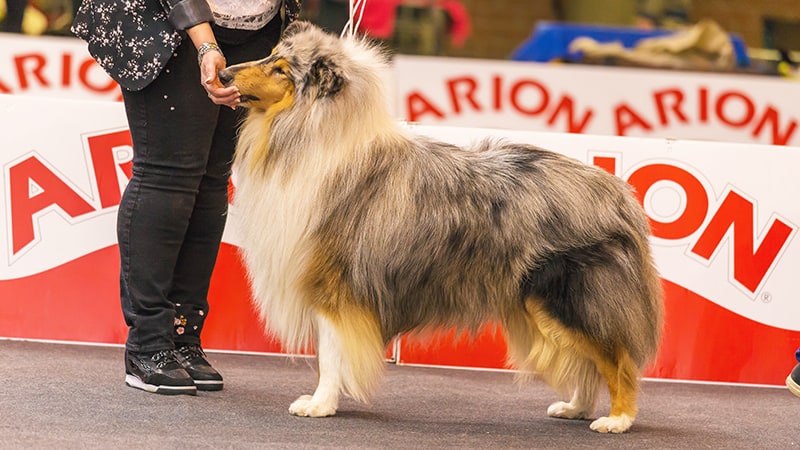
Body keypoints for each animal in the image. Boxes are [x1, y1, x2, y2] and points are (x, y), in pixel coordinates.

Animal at [219, 21, 664, 432]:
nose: (222, 73)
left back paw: (617, 419)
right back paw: (576, 408)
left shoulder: (333, 287)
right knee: (589, 362)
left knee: (616, 359)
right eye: (270, 54)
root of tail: (620, 194)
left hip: (570, 300)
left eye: (281, 69)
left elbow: (330, 356)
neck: (308, 134)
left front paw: (319, 404)